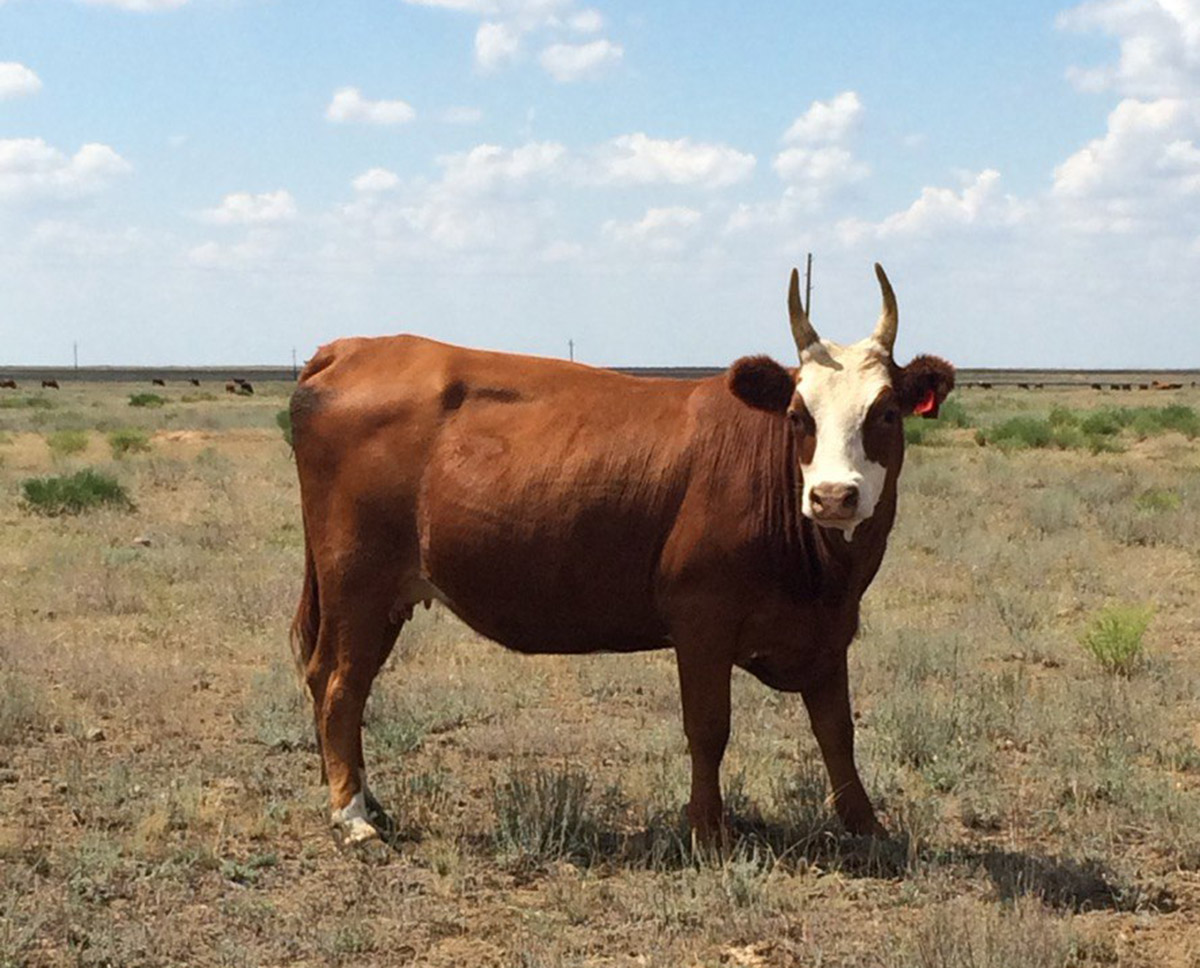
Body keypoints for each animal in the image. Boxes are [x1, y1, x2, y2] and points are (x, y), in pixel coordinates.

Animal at [290, 262, 955, 849]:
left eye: (885, 413)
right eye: (798, 415)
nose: (834, 496)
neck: (824, 575)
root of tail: (349, 349)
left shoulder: (828, 630)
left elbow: (837, 731)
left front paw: (869, 828)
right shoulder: (702, 619)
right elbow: (708, 728)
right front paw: (708, 831)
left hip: (385, 597)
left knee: (340, 680)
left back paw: (365, 798)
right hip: (356, 580)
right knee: (340, 683)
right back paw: (352, 816)